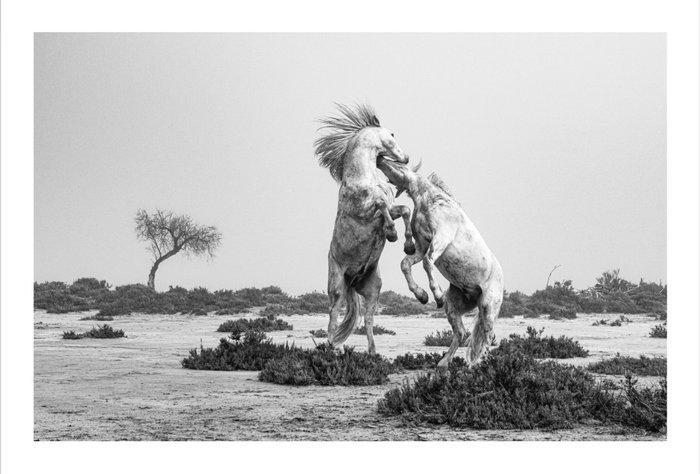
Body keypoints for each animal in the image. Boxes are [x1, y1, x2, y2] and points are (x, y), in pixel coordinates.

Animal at [314, 104, 415, 354]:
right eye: (392, 134)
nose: (406, 158)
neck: (363, 176)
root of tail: (352, 281)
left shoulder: (392, 207)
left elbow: (404, 210)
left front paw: (407, 243)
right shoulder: (365, 211)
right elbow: (380, 206)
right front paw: (391, 233)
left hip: (373, 289)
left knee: (368, 319)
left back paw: (372, 352)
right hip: (337, 285)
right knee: (333, 315)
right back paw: (333, 349)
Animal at [377, 158, 504, 366]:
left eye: (399, 164)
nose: (380, 159)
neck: (431, 200)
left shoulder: (441, 239)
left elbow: (427, 263)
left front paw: (436, 295)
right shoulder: (422, 246)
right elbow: (406, 264)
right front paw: (421, 295)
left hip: (488, 306)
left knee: (487, 336)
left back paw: (475, 366)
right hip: (454, 307)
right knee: (461, 333)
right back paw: (444, 364)